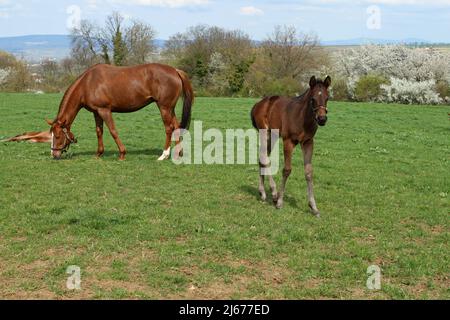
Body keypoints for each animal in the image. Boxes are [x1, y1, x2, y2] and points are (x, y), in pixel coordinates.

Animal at [47, 63, 193, 160]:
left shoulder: (104, 110)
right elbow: (99, 132)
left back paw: (164, 155)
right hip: (170, 109)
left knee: (169, 128)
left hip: (164, 108)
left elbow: (113, 131)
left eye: (58, 136)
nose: (54, 154)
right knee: (176, 126)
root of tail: (175, 70)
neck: (87, 84)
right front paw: (98, 153)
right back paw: (179, 153)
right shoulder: (96, 112)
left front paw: (122, 153)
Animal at [251, 75, 332, 216]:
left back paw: (264, 193)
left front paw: (313, 207)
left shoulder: (308, 142)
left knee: (262, 157)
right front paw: (280, 202)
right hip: (265, 133)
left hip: (273, 136)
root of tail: (258, 104)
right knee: (264, 158)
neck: (301, 117)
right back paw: (272, 193)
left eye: (327, 98)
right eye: (313, 99)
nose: (322, 119)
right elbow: (287, 170)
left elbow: (309, 172)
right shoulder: (288, 141)